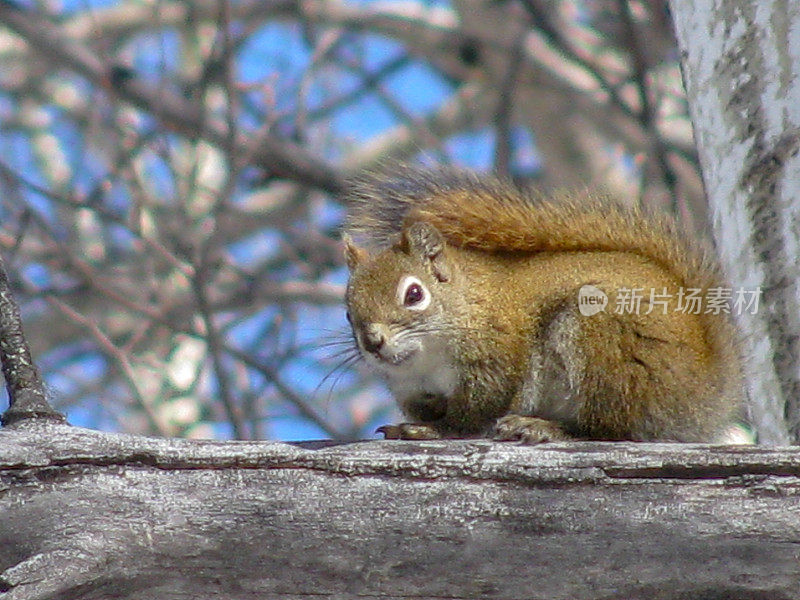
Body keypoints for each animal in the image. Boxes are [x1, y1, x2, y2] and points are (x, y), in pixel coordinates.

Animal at [340, 166, 748, 442]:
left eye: (414, 294)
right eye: (347, 310)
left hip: (607, 342)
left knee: (609, 430)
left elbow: (472, 416)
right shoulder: (414, 391)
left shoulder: (497, 362)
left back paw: (543, 427)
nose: (373, 342)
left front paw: (433, 431)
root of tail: (702, 396)